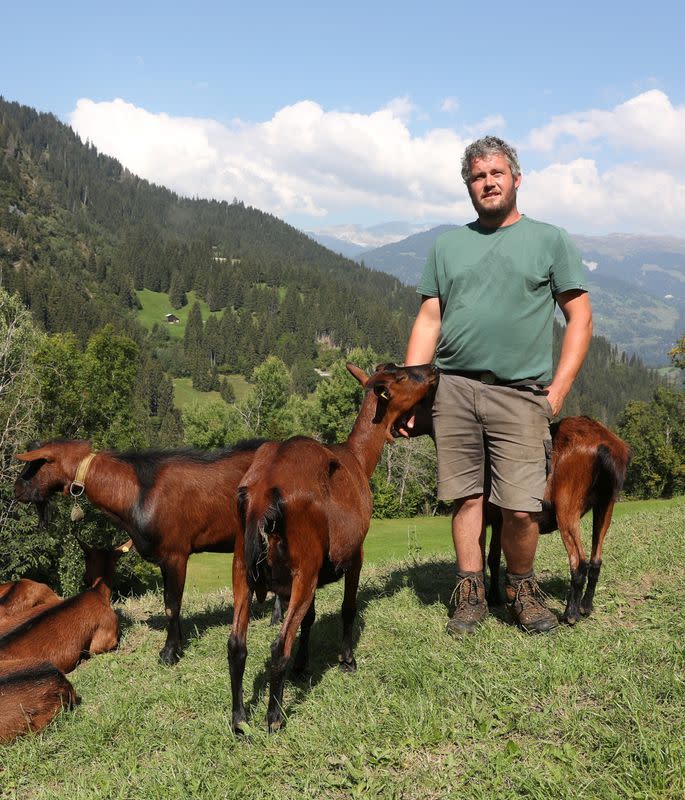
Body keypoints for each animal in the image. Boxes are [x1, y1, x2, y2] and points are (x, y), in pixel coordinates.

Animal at [14, 438, 264, 664]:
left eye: (37, 463)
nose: (17, 490)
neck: (140, 492)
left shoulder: (175, 554)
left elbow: (171, 605)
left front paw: (169, 654)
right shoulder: (164, 559)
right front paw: (178, 644)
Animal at [227, 362, 436, 732]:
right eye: (402, 377)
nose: (432, 370)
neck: (358, 459)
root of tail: (261, 495)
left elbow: (309, 619)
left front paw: (303, 665)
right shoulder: (355, 553)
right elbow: (347, 607)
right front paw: (347, 660)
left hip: (243, 566)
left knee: (237, 644)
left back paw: (239, 720)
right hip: (302, 567)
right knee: (278, 646)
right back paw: (274, 718)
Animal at [486, 416, 632, 628]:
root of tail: (606, 444)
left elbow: (491, 558)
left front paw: (493, 598)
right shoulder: (499, 520)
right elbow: (495, 557)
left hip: (567, 506)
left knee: (579, 562)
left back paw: (570, 615)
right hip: (606, 503)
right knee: (596, 559)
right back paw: (585, 607)